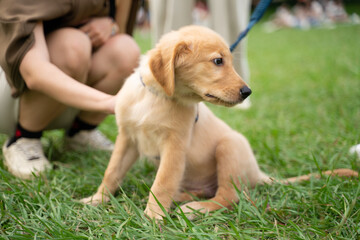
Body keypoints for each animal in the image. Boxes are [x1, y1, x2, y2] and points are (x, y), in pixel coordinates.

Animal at [81, 25, 358, 218]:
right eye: (217, 61)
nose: (247, 92)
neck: (156, 97)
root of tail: (257, 172)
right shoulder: (127, 138)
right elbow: (112, 172)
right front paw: (96, 200)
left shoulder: (174, 146)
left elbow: (161, 184)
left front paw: (152, 218)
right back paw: (182, 197)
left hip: (229, 147)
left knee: (228, 195)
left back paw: (194, 208)